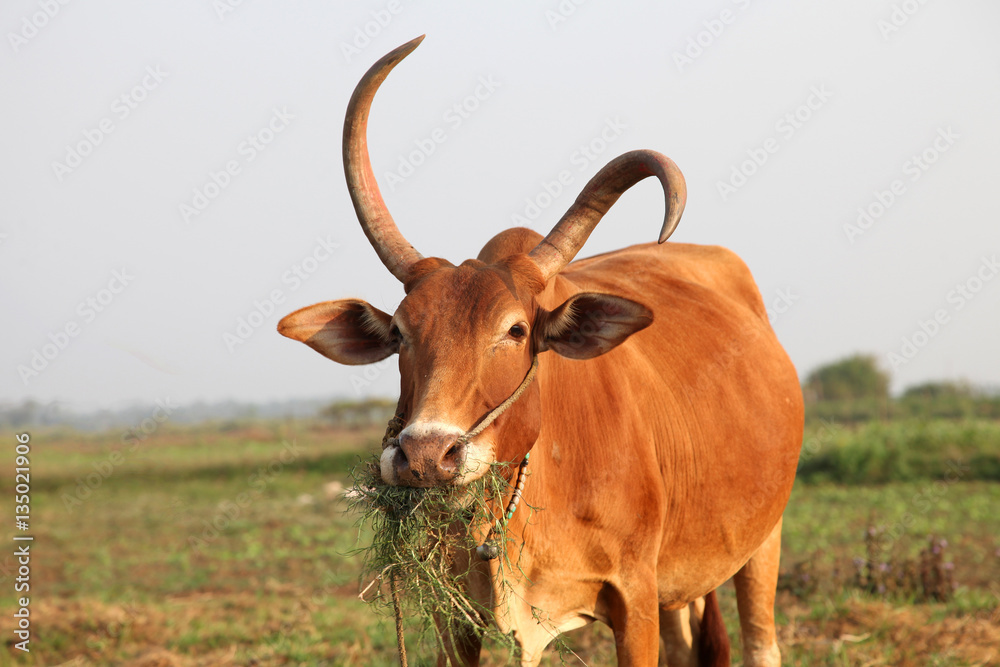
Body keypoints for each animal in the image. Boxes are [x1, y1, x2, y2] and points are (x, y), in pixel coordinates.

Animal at [276, 37, 804, 667]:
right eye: (400, 333)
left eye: (516, 330)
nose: (425, 456)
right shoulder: (453, 613)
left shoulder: (635, 598)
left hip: (763, 540)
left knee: (761, 640)